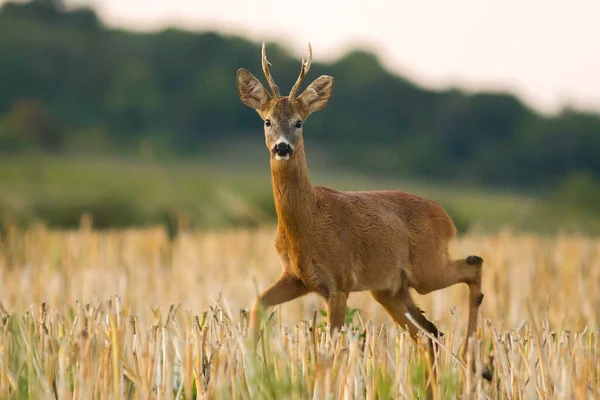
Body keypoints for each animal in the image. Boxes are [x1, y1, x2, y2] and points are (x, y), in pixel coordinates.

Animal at [234, 42, 492, 382]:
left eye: (300, 122)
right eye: (267, 121)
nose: (282, 147)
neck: (306, 224)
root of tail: (446, 218)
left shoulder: (339, 281)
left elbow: (332, 349)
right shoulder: (297, 277)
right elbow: (256, 306)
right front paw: (249, 373)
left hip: (427, 268)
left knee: (473, 266)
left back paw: (477, 364)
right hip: (389, 289)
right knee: (429, 334)